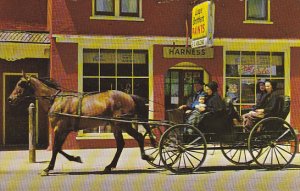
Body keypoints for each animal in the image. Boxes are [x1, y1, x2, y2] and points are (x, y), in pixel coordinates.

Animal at [7, 72, 155, 176]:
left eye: (21, 83)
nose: (10, 99)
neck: (55, 99)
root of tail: (130, 96)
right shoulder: (64, 130)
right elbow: (58, 148)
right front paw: (75, 158)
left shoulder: (60, 129)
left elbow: (55, 148)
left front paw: (48, 168)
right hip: (116, 125)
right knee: (121, 144)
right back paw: (109, 166)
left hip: (123, 124)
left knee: (138, 137)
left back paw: (146, 156)